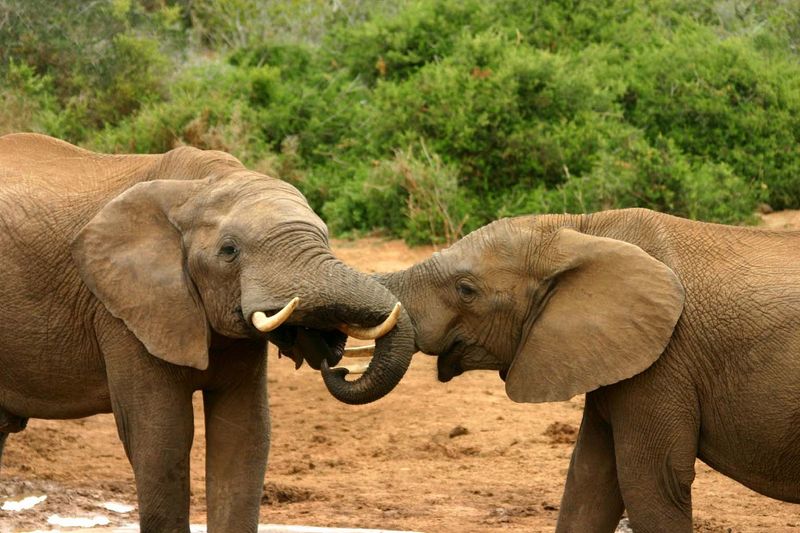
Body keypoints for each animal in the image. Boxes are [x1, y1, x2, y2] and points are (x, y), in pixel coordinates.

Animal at [0, 133, 416, 532]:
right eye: (229, 250)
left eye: (325, 240)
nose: (337, 363)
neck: (198, 187)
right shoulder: (123, 310)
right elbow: (162, 435)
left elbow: (244, 433)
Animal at [322, 209, 800, 532]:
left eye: (466, 290)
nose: (334, 362)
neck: (580, 231)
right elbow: (589, 480)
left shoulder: (665, 362)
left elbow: (651, 480)